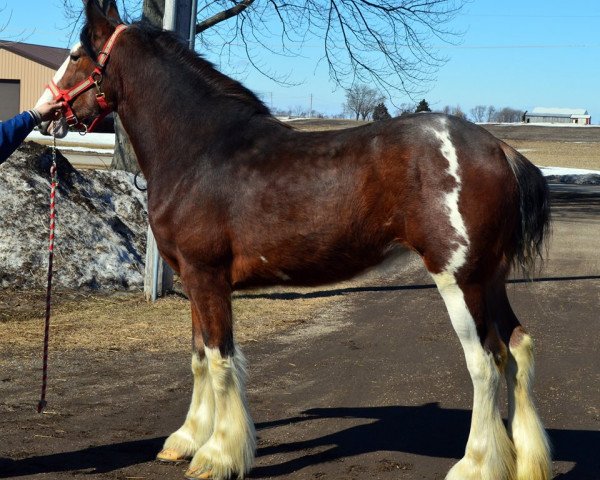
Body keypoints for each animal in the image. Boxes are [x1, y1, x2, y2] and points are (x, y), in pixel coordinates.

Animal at [36, 1, 552, 478]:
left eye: (77, 55)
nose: (44, 113)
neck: (200, 150)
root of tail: (498, 149)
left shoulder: (208, 278)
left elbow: (221, 362)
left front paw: (218, 455)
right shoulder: (193, 283)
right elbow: (199, 359)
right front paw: (186, 440)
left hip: (460, 281)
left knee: (485, 361)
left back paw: (475, 464)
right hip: (490, 279)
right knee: (517, 349)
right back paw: (527, 461)